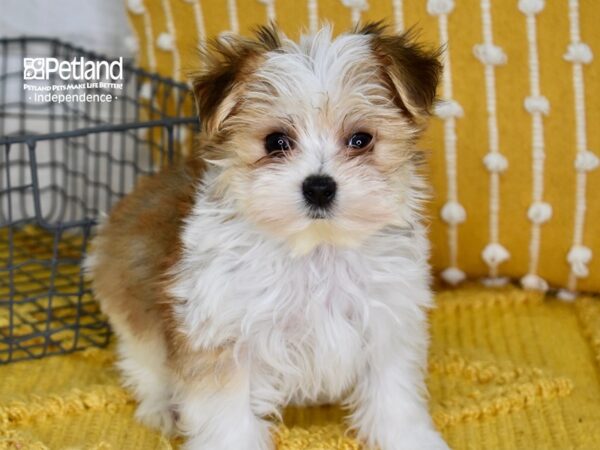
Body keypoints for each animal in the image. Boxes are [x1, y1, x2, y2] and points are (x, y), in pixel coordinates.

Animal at [86, 23, 448, 450]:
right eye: (276, 142)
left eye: (361, 139)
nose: (319, 187)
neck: (316, 250)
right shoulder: (222, 336)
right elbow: (229, 417)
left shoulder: (386, 325)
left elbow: (393, 397)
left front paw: (412, 438)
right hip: (134, 313)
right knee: (147, 366)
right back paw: (161, 409)